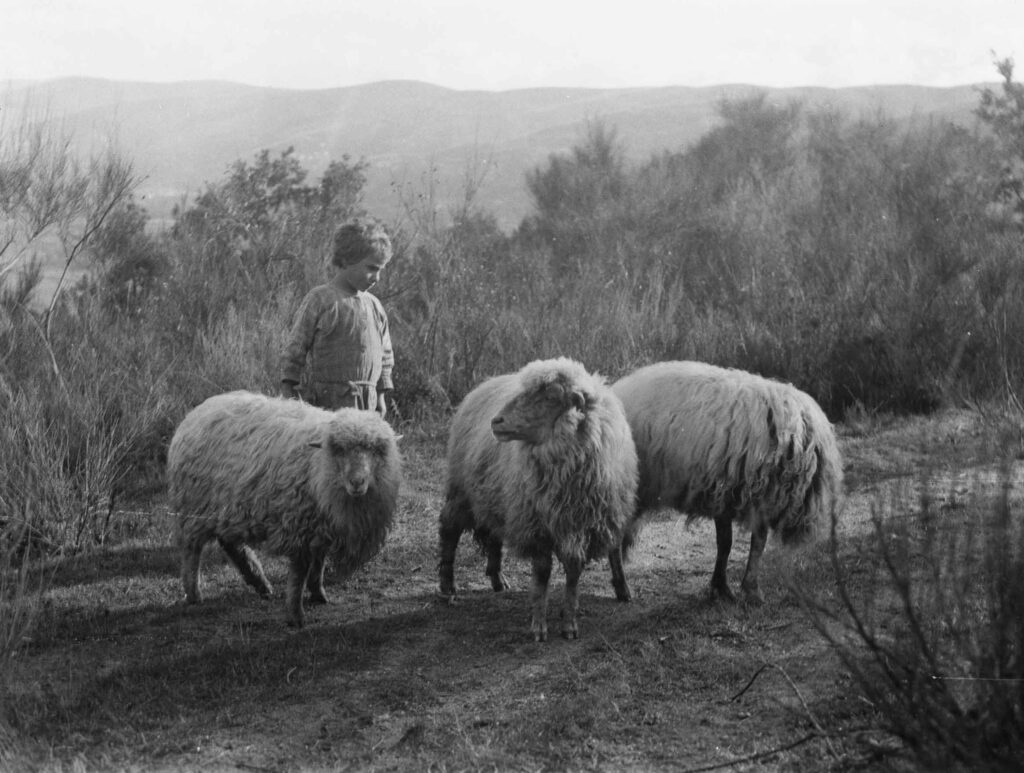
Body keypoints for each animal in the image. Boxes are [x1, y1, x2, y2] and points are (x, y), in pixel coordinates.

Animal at [167, 391, 401, 627]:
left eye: (377, 450)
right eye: (338, 449)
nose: (357, 482)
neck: (318, 467)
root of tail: (201, 409)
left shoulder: (321, 527)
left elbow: (319, 563)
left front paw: (318, 594)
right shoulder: (299, 528)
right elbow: (299, 573)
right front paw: (295, 616)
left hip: (228, 507)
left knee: (231, 544)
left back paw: (260, 583)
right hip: (194, 506)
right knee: (192, 550)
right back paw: (194, 594)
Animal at [437, 357, 639, 641]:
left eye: (551, 396)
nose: (496, 421)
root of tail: (486, 383)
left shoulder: (579, 525)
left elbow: (574, 573)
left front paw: (569, 624)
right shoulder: (537, 524)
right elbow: (542, 573)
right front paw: (539, 626)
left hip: (495, 495)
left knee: (493, 536)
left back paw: (497, 579)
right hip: (461, 491)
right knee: (449, 530)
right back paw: (447, 584)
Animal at [610, 361, 842, 604]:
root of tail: (616, 390)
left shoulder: (728, 497)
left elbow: (730, 543)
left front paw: (723, 587)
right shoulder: (748, 496)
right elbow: (750, 543)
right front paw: (747, 590)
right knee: (614, 536)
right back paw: (622, 588)